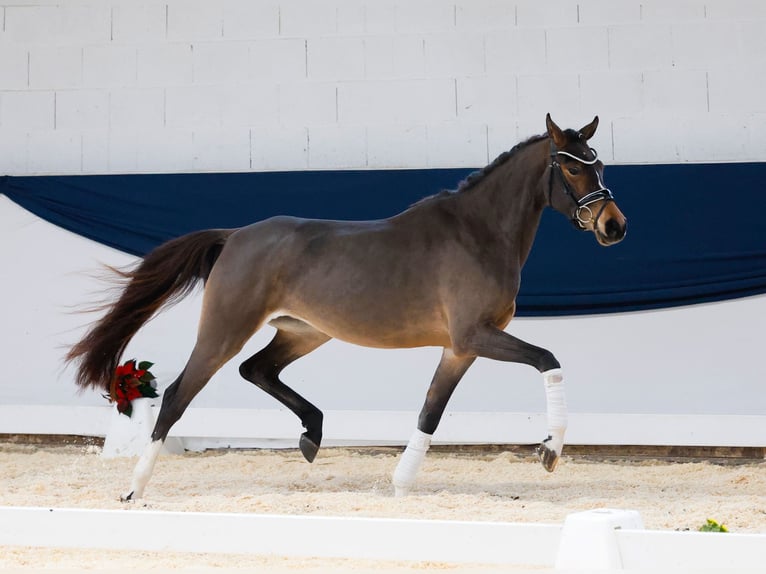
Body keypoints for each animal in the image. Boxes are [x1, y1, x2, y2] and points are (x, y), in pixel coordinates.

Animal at [66, 115, 632, 502]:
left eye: (600, 164)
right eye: (570, 168)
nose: (614, 226)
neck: (479, 233)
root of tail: (235, 236)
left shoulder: (460, 348)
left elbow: (431, 410)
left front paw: (401, 483)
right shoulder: (474, 335)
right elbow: (548, 360)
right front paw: (550, 451)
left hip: (303, 332)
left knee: (258, 370)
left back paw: (312, 435)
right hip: (225, 331)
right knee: (179, 394)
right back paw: (134, 489)